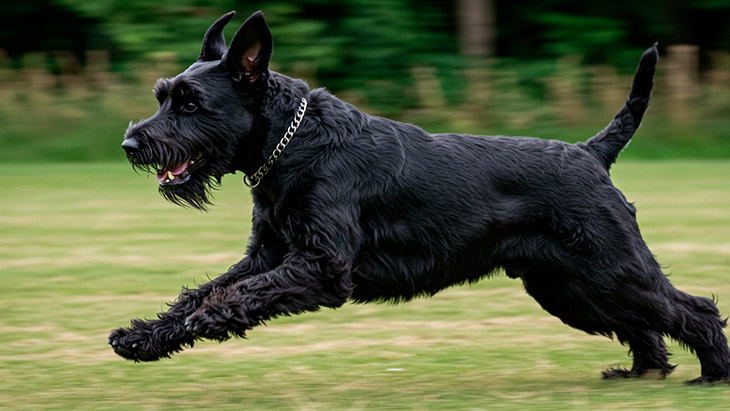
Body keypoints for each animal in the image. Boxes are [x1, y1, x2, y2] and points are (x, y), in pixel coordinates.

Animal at [109, 11, 728, 384]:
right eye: (164, 96)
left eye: (190, 103)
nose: (130, 144)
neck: (292, 145)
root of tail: (591, 152)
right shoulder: (269, 253)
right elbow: (202, 291)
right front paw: (142, 338)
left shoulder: (320, 265)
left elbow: (231, 296)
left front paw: (194, 325)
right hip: (569, 285)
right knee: (644, 322)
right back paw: (645, 373)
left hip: (609, 267)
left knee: (693, 308)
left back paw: (712, 373)